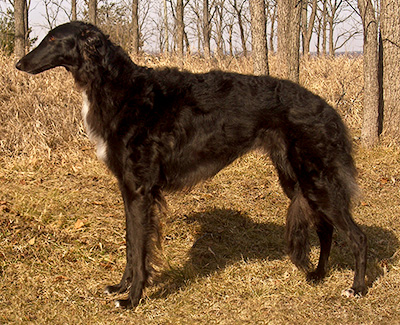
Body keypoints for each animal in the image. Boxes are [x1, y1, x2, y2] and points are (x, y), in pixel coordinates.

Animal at [16, 22, 366, 306]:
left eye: (53, 38)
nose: (19, 63)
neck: (118, 86)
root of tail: (328, 108)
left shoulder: (140, 190)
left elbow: (140, 249)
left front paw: (133, 299)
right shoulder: (128, 188)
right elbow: (131, 244)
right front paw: (121, 287)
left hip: (315, 181)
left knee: (357, 236)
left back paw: (357, 288)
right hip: (298, 180)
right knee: (325, 229)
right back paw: (318, 274)